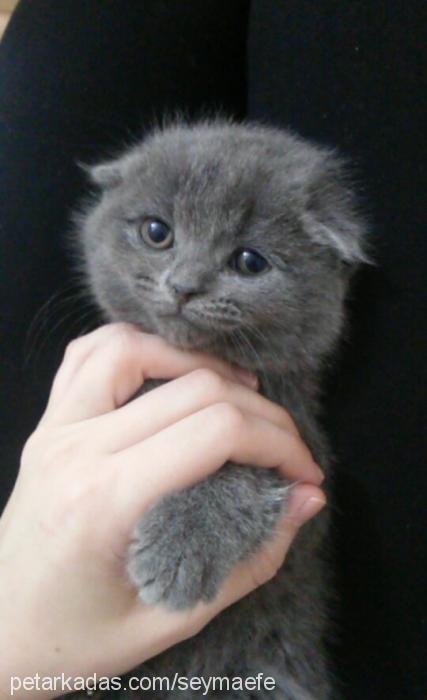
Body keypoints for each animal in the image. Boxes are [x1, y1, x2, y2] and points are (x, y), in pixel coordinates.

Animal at [72, 117, 368, 696]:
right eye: (157, 232)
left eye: (250, 261)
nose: (185, 286)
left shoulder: (306, 461)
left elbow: (243, 472)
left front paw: (183, 544)